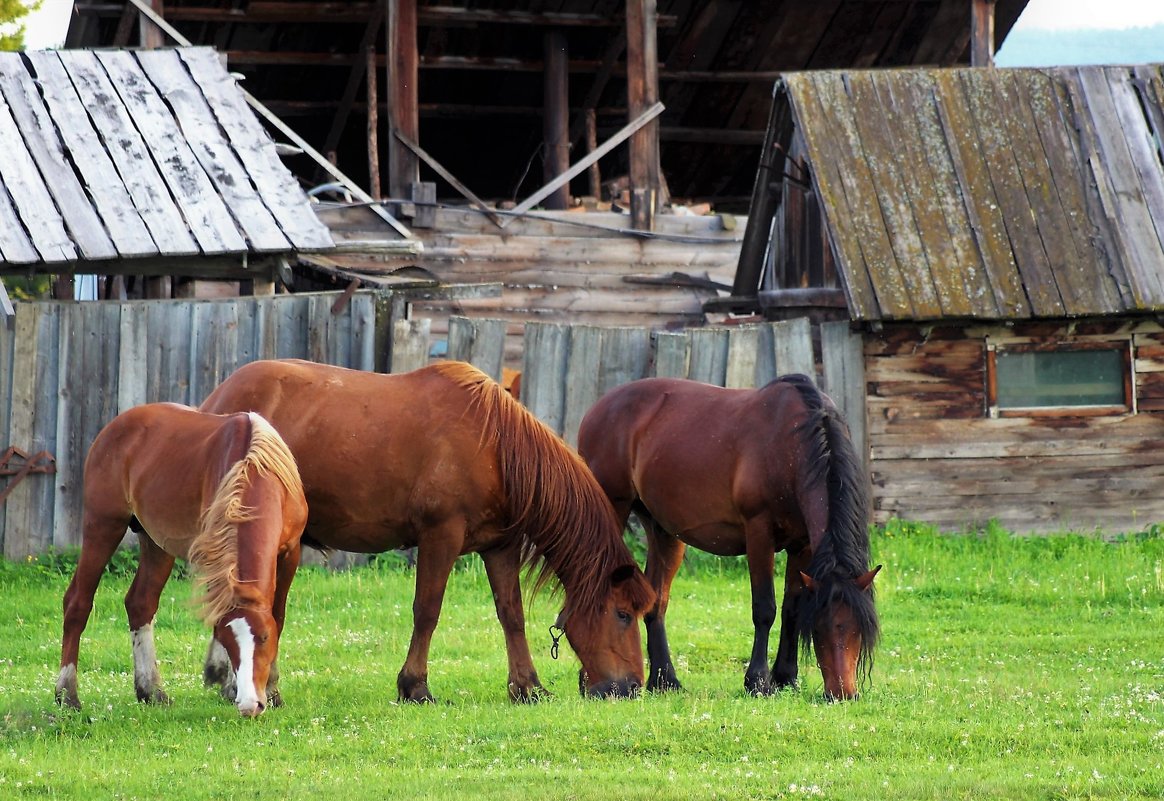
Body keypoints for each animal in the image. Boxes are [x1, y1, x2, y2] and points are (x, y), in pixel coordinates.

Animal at [56, 402, 307, 717]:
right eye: (228, 642)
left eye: (264, 638)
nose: (250, 705)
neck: (254, 471)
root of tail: (115, 427)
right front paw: (229, 683)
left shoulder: (290, 552)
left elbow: (279, 616)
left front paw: (271, 691)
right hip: (103, 525)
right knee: (77, 602)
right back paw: (67, 694)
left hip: (156, 544)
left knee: (140, 603)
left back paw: (151, 690)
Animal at [199, 358, 656, 698]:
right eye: (621, 614)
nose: (633, 686)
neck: (495, 446)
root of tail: (219, 397)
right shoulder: (441, 537)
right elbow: (427, 611)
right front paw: (415, 686)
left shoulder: (500, 547)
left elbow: (512, 615)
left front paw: (527, 686)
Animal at [577, 372, 884, 698]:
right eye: (819, 628)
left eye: (860, 629)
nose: (843, 693)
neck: (793, 445)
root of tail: (598, 408)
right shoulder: (759, 532)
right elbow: (765, 609)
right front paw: (758, 681)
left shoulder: (802, 546)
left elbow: (791, 608)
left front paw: (786, 677)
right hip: (615, 506)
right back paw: (594, 682)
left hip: (663, 531)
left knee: (656, 600)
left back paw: (665, 681)